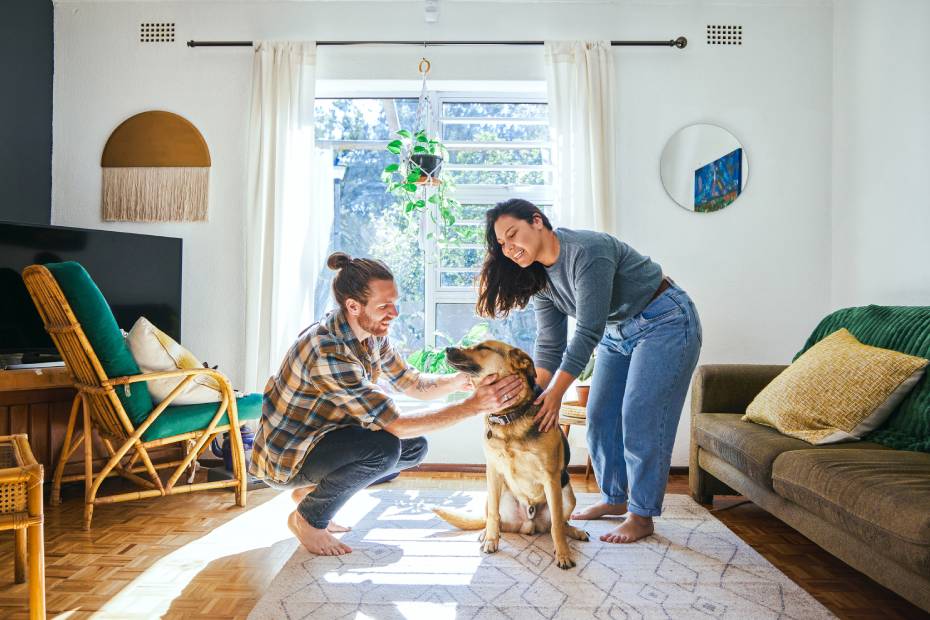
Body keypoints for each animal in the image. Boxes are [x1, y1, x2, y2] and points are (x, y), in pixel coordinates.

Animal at [430, 342, 588, 568]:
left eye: (483, 347)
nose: (447, 348)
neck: (509, 417)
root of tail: (528, 524)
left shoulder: (550, 477)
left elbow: (557, 525)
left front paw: (563, 554)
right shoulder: (493, 472)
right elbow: (493, 516)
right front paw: (491, 540)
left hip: (566, 494)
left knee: (559, 522)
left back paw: (574, 532)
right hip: (493, 495)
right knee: (496, 519)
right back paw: (487, 534)